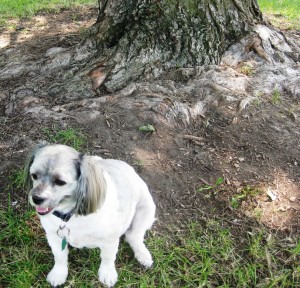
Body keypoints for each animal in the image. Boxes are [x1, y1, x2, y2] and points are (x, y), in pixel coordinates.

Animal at [24, 143, 156, 286]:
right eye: (34, 175)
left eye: (60, 182)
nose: (36, 198)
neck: (70, 216)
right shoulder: (54, 236)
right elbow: (60, 256)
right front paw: (58, 273)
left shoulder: (110, 240)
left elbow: (108, 257)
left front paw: (107, 273)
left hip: (145, 210)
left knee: (133, 236)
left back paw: (142, 254)